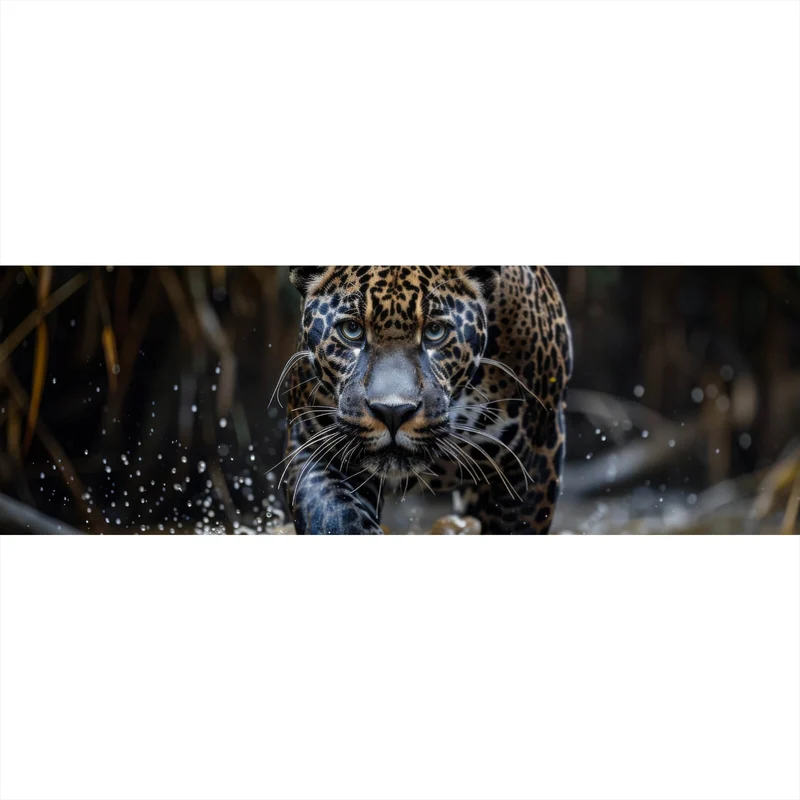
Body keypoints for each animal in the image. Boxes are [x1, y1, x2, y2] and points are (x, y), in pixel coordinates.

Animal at [277, 266, 572, 534]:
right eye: (351, 330)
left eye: (435, 331)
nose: (392, 412)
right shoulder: (317, 448)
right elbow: (335, 519)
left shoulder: (531, 466)